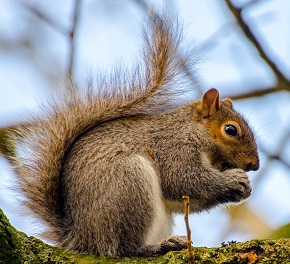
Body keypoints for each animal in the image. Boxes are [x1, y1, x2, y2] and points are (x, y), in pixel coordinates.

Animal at [10, 13, 260, 256]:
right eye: (230, 130)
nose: (254, 165)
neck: (193, 132)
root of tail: (81, 237)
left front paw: (242, 188)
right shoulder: (173, 147)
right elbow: (184, 179)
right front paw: (234, 180)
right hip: (128, 184)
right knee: (124, 247)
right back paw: (157, 246)